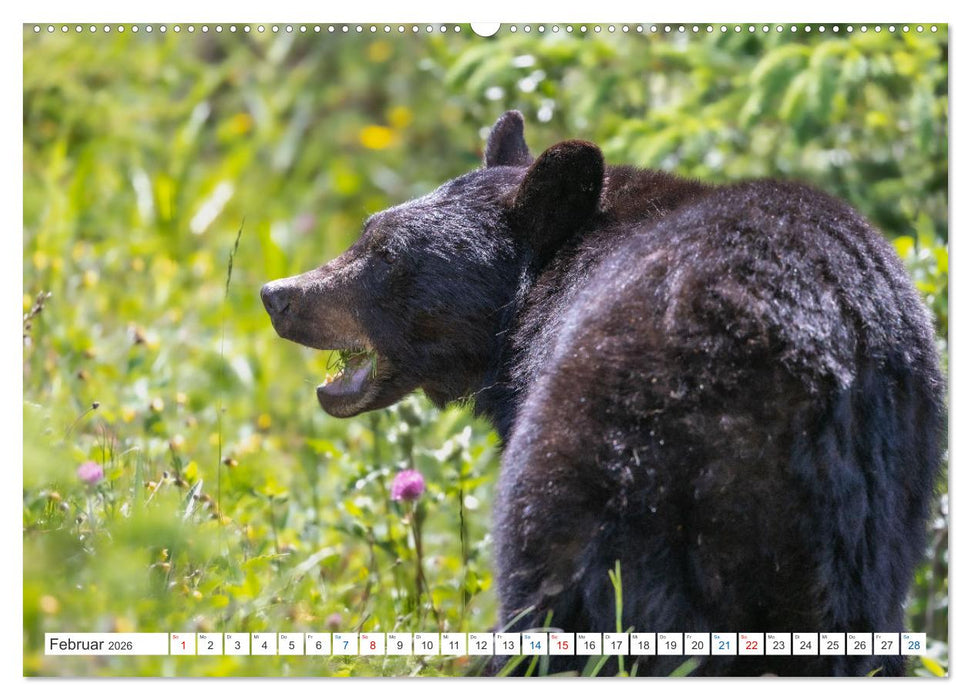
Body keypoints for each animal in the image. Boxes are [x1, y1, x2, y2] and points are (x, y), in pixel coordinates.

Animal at [262, 111, 944, 676]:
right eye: (366, 231)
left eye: (387, 255)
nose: (278, 295)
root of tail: (809, 339)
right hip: (879, 501)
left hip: (616, 448)